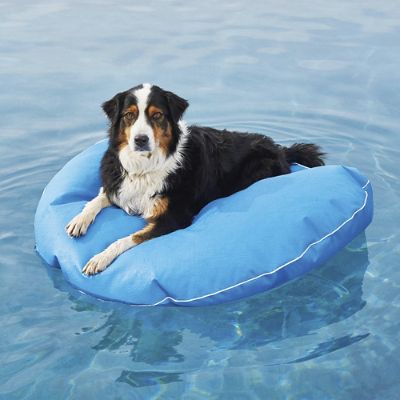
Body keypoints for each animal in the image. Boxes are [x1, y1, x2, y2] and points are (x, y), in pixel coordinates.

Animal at [65, 83, 322, 276]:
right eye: (129, 115)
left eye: (157, 115)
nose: (140, 140)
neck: (146, 166)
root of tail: (281, 149)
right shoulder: (117, 185)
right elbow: (98, 198)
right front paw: (79, 220)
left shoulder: (173, 218)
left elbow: (128, 238)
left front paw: (99, 258)